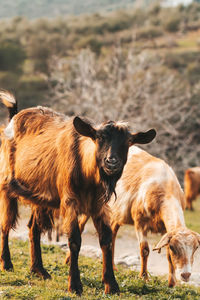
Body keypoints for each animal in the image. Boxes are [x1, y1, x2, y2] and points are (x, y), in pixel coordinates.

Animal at [0, 89, 156, 296]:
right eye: (99, 138)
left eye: (128, 142)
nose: (111, 162)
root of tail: (13, 118)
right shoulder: (70, 201)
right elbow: (74, 240)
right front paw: (74, 285)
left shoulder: (99, 205)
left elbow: (106, 239)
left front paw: (111, 285)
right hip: (6, 184)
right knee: (6, 224)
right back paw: (7, 264)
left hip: (40, 196)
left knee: (33, 228)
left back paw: (39, 270)